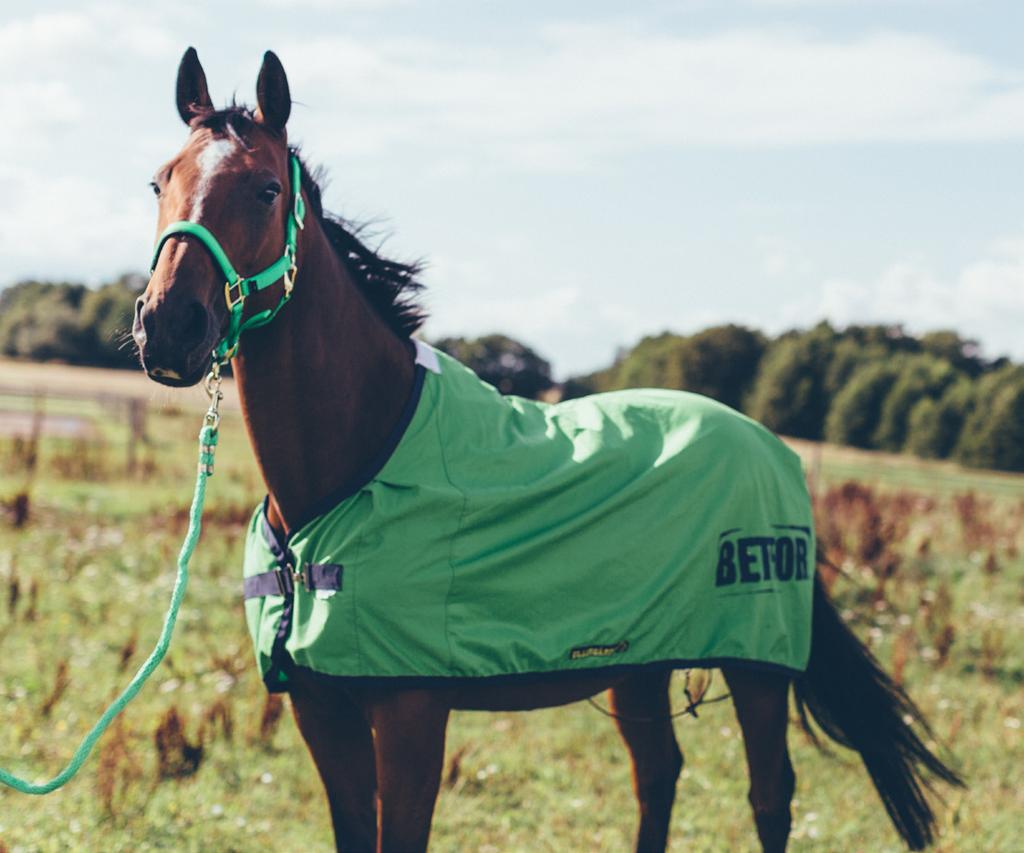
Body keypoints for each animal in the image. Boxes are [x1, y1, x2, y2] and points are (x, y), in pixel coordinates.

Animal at [132, 49, 962, 847]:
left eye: (267, 188)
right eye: (159, 181)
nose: (169, 324)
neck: (355, 464)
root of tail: (771, 447)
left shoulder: (410, 713)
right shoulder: (319, 707)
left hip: (757, 668)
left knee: (770, 798)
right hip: (638, 666)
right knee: (659, 774)